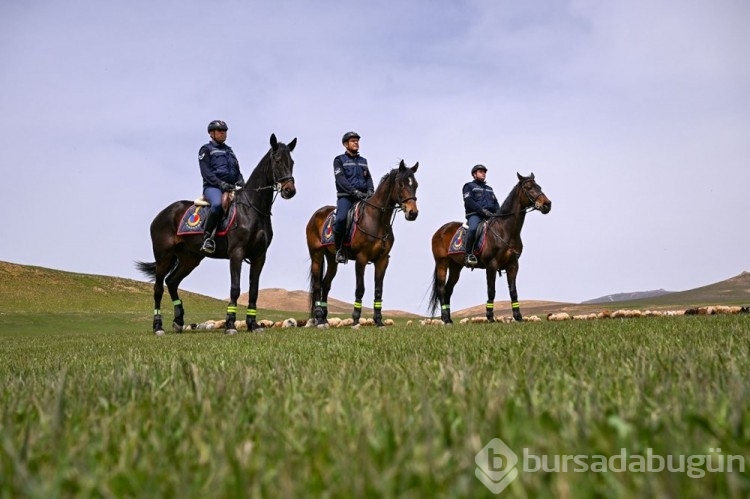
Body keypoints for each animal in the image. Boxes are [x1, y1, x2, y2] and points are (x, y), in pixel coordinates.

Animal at [137, 133, 298, 336]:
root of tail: (162, 214)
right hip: (163, 256)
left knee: (172, 282)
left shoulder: (259, 256)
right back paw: (158, 327)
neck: (252, 208)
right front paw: (230, 325)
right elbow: (235, 288)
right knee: (158, 288)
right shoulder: (236, 254)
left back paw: (179, 321)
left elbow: (254, 291)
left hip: (190, 258)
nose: (290, 190)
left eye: (292, 161)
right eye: (277, 160)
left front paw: (253, 325)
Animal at [306, 160, 424, 330]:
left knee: (325, 284)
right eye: (401, 184)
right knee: (316, 285)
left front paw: (379, 321)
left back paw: (324, 319)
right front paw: (355, 320)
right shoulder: (361, 259)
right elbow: (360, 289)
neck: (376, 220)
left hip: (332, 258)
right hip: (316, 255)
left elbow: (378, 290)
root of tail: (316, 214)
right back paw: (319, 319)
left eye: (415, 184)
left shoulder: (382, 260)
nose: (412, 213)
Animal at [428, 174, 552, 326]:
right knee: (441, 289)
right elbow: (491, 291)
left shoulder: (513, 266)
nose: (547, 204)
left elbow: (513, 291)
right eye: (528, 187)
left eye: (539, 187)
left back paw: (449, 319)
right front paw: (490, 317)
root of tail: (440, 230)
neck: (505, 231)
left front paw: (518, 317)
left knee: (448, 290)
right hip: (442, 263)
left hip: (456, 266)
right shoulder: (491, 266)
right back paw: (445, 319)